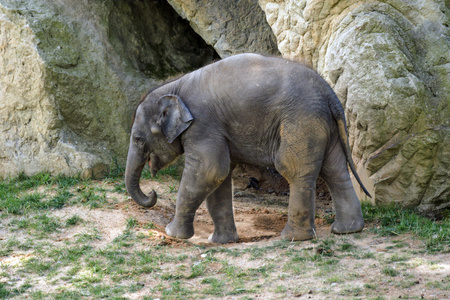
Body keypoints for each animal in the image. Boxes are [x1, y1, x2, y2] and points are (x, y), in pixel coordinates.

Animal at [125, 53, 370, 244]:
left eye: (138, 138)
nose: (153, 193)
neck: (174, 86)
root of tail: (330, 94)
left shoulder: (203, 125)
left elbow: (208, 171)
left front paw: (172, 233)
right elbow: (220, 178)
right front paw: (220, 241)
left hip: (302, 122)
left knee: (294, 169)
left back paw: (293, 238)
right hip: (325, 125)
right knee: (335, 169)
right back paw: (347, 230)